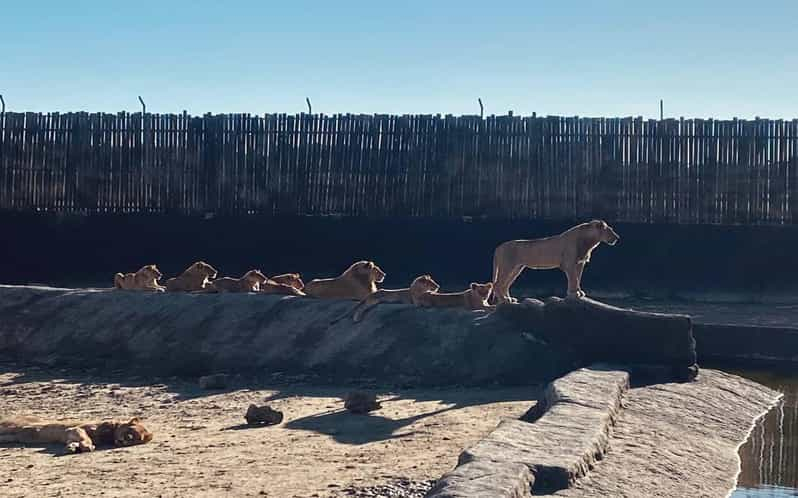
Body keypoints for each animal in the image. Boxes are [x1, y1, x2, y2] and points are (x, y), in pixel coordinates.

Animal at [0, 414, 153, 454]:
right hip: (7, 428)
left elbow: (74, 442)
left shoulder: (69, 435)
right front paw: (86, 447)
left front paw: (73, 448)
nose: (125, 440)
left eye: (135, 439)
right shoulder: (76, 429)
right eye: (130, 431)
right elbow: (85, 438)